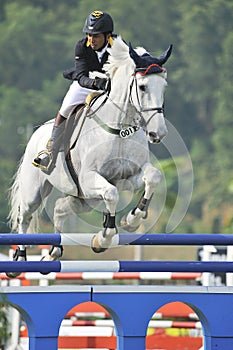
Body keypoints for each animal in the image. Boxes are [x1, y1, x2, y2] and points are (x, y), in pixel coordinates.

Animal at [7, 37, 172, 278]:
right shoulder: (90, 179)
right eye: (142, 86)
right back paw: (19, 259)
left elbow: (153, 177)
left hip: (84, 198)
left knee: (60, 208)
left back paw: (53, 252)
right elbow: (112, 195)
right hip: (35, 191)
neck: (118, 129)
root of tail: (37, 134)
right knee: (25, 216)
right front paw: (103, 238)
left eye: (164, 87)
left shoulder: (126, 176)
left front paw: (132, 219)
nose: (158, 134)